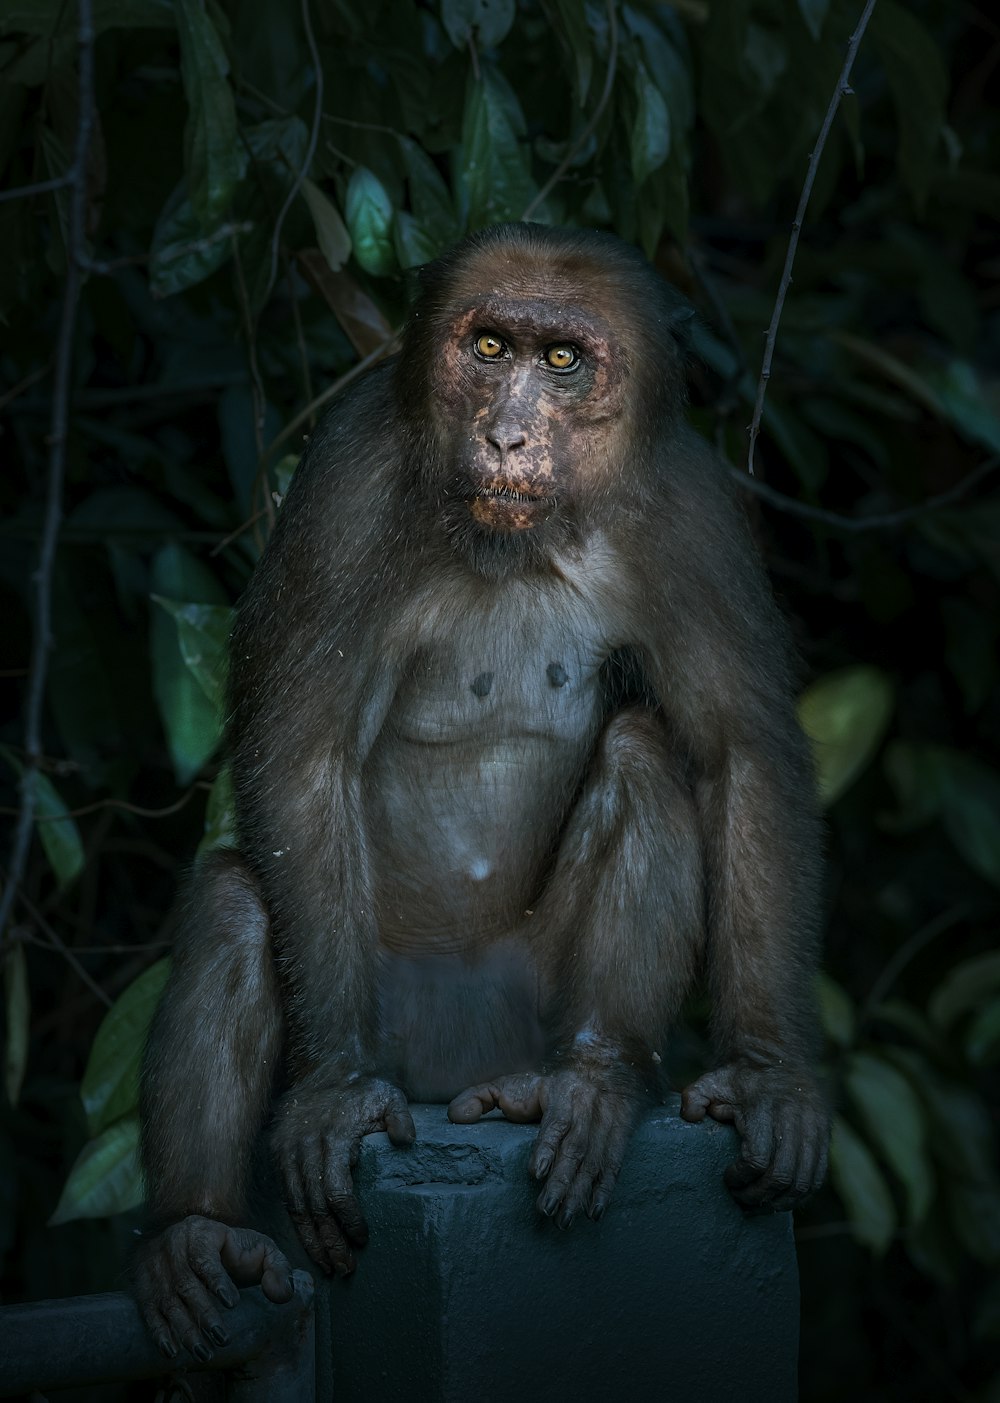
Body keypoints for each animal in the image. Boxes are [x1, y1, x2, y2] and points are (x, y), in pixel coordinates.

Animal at [132, 218, 824, 1358]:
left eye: (563, 361)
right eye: (491, 348)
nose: (506, 435)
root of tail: (456, 1072)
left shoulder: (693, 517)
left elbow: (740, 754)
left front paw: (770, 1076)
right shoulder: (345, 488)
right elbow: (302, 752)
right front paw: (330, 1098)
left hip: (520, 1007)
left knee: (645, 755)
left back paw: (588, 1082)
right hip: (391, 1015)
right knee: (237, 905)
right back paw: (196, 1233)